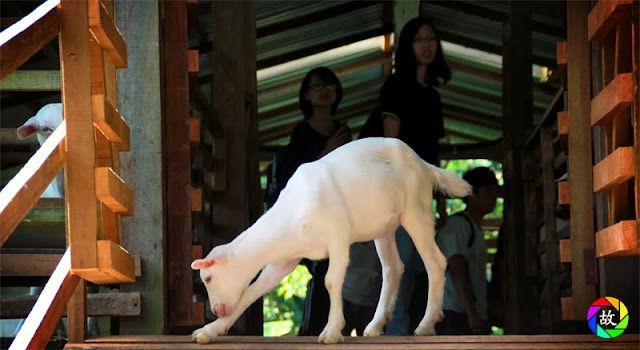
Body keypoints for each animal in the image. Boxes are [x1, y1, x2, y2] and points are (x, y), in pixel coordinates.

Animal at [190, 137, 470, 344]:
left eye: (208, 278)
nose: (217, 310)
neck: (294, 211)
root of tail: (424, 164)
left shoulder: (338, 236)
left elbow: (332, 281)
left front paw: (332, 331)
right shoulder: (287, 258)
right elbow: (253, 291)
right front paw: (209, 331)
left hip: (416, 210)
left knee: (435, 262)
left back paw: (426, 324)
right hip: (383, 227)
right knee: (392, 268)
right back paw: (375, 325)